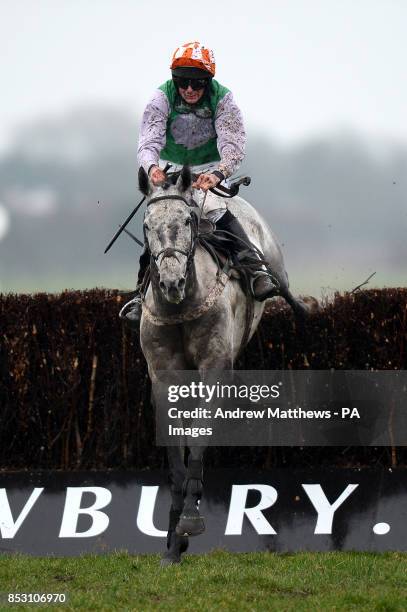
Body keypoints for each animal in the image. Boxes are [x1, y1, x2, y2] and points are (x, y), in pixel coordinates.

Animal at [137, 164, 312, 564]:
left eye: (187, 220)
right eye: (147, 225)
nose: (171, 282)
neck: (181, 307)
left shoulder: (215, 368)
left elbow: (199, 439)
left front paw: (189, 519)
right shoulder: (164, 377)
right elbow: (175, 452)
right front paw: (172, 542)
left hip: (274, 267)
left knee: (280, 285)